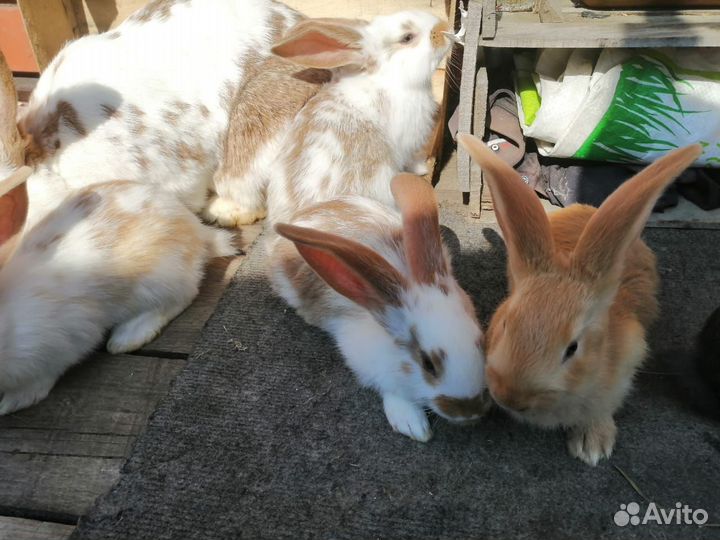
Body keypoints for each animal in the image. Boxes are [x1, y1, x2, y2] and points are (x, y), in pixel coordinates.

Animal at [0, 56, 235, 415]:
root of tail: (197, 235)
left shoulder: (61, 336)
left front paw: (14, 400)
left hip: (156, 281)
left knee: (180, 297)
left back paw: (127, 337)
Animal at [205, 11, 452, 227]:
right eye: (407, 37)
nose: (445, 27)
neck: (391, 77)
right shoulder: (409, 142)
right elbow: (412, 159)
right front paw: (421, 170)